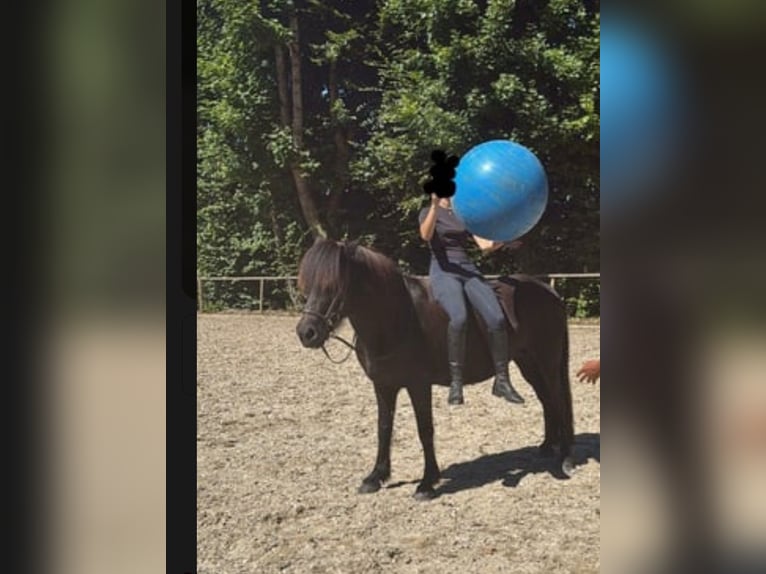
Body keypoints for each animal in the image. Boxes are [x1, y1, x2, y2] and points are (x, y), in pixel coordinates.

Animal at [295, 238, 574, 500]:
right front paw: (376, 477)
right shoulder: (383, 385)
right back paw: (547, 446)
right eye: (308, 284)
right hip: (528, 362)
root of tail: (548, 291)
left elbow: (425, 430)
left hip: (547, 362)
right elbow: (383, 428)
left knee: (558, 400)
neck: (398, 318)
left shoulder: (419, 385)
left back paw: (566, 458)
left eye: (334, 285)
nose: (306, 333)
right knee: (547, 400)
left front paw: (427, 483)